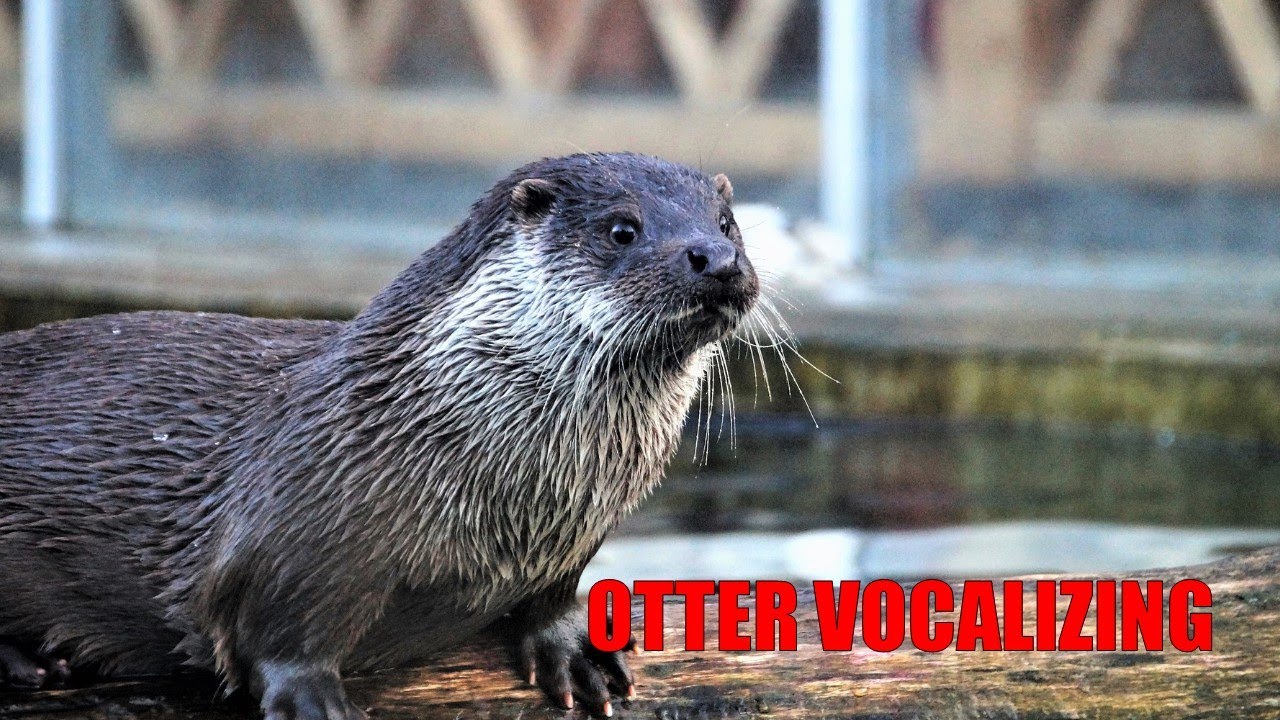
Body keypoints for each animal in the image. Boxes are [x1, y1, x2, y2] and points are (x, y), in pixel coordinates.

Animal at [0, 153, 758, 719]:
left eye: (728, 223)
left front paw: (576, 650)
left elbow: (555, 598)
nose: (716, 259)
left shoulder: (566, 544)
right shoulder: (292, 531)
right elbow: (277, 632)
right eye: (622, 229)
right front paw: (314, 699)